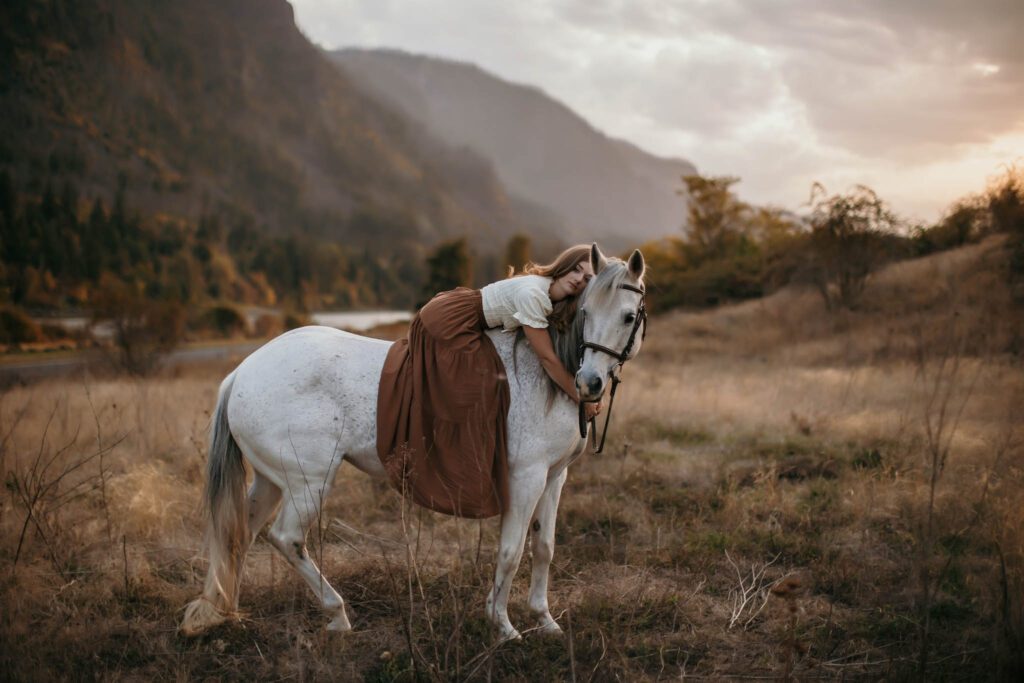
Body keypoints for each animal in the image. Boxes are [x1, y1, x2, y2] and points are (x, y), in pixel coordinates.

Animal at [180, 244, 647, 641]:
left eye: (627, 317)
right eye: (585, 311)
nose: (589, 383)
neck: (547, 372)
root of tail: (241, 372)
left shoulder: (554, 477)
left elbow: (544, 547)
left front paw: (545, 621)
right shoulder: (526, 478)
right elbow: (511, 552)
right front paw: (503, 627)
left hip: (272, 481)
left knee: (238, 532)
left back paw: (222, 608)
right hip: (308, 482)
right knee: (287, 539)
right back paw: (337, 614)